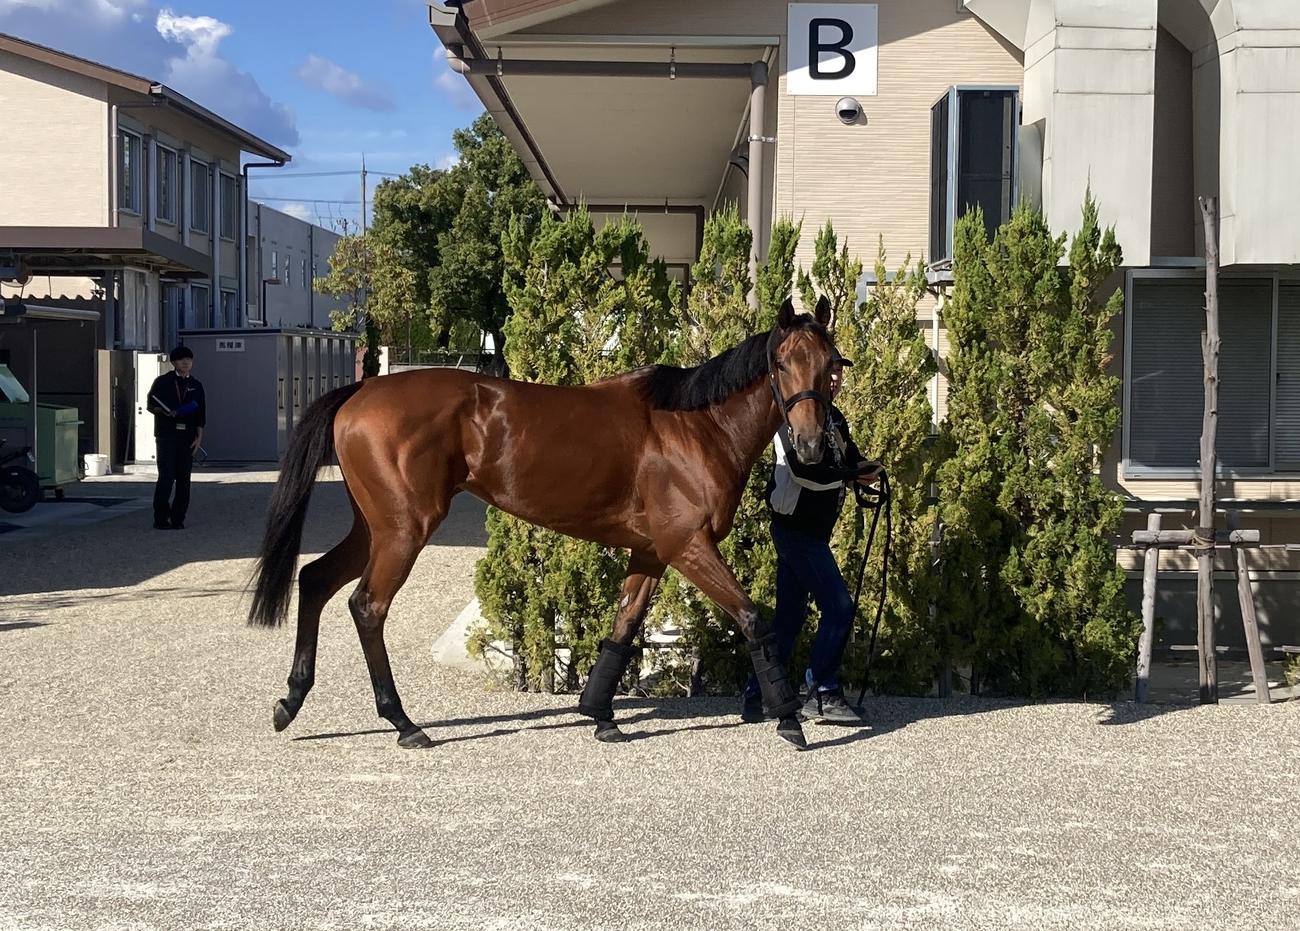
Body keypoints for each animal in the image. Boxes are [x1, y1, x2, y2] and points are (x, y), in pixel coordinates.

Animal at [249, 296, 841, 750]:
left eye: (832, 365)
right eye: (782, 363)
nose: (813, 445)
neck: (696, 427)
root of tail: (361, 391)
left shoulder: (652, 552)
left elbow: (623, 627)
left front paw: (600, 715)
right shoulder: (687, 545)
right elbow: (753, 618)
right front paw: (788, 718)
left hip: (374, 528)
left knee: (315, 580)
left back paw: (290, 701)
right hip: (402, 531)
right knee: (367, 607)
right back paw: (403, 722)